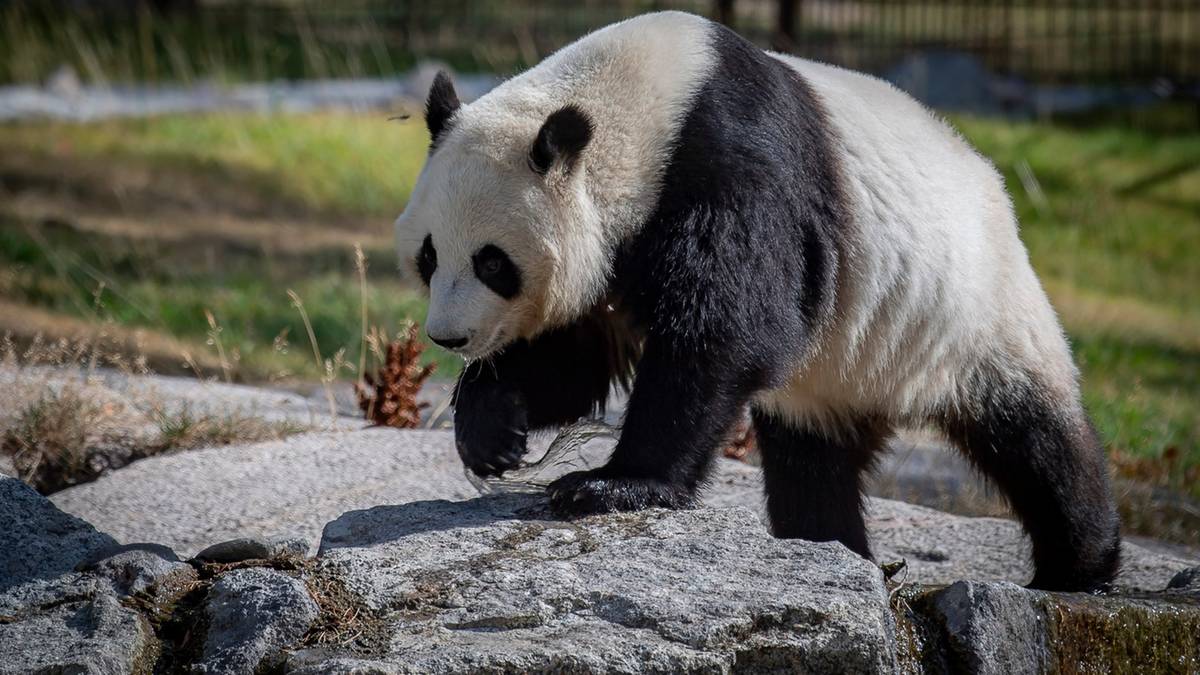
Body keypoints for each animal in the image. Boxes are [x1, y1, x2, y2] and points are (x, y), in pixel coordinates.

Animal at [393, 10, 1123, 588]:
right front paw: (492, 432)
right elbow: (577, 362)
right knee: (812, 461)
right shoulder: (612, 253)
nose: (449, 337)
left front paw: (611, 484)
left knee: (1037, 438)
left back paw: (1081, 566)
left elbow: (726, 332)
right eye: (429, 256)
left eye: (493, 262)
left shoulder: (728, 166)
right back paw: (833, 547)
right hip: (835, 372)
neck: (635, 111)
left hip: (974, 305)